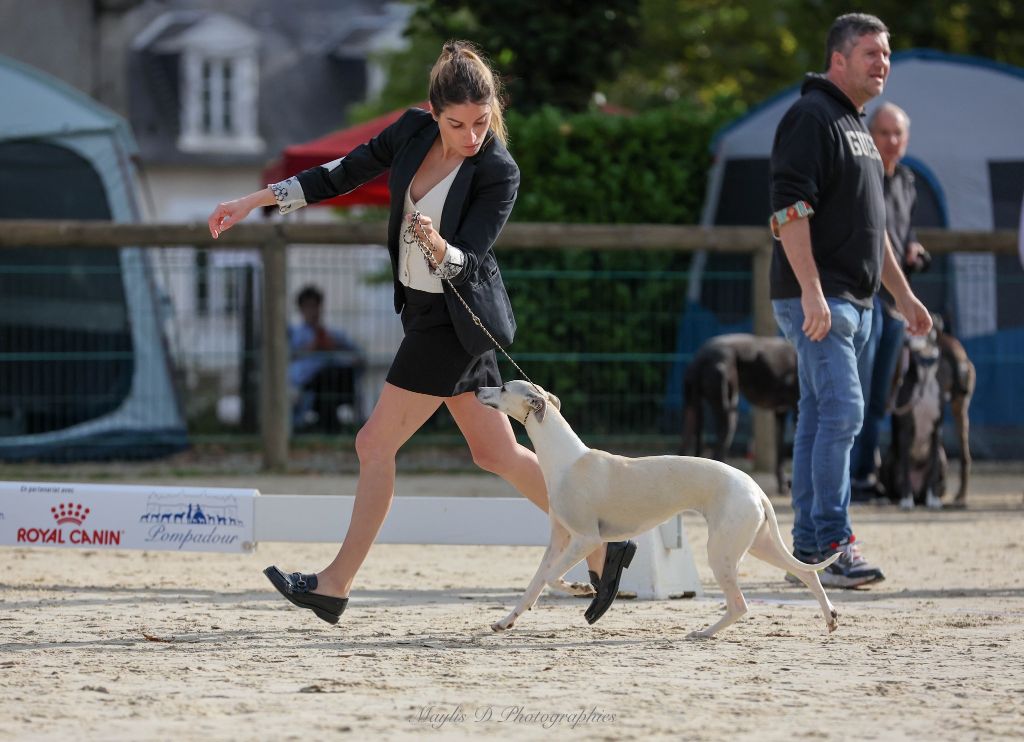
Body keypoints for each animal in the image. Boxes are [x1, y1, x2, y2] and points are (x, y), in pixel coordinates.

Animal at [477, 382, 839, 638]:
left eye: (504, 387)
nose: (477, 389)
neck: (566, 459)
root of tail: (755, 488)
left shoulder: (586, 538)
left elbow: (553, 578)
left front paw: (579, 588)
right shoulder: (558, 540)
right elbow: (535, 583)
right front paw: (505, 621)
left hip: (722, 551)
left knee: (740, 604)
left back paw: (703, 633)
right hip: (756, 543)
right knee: (807, 573)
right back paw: (831, 617)